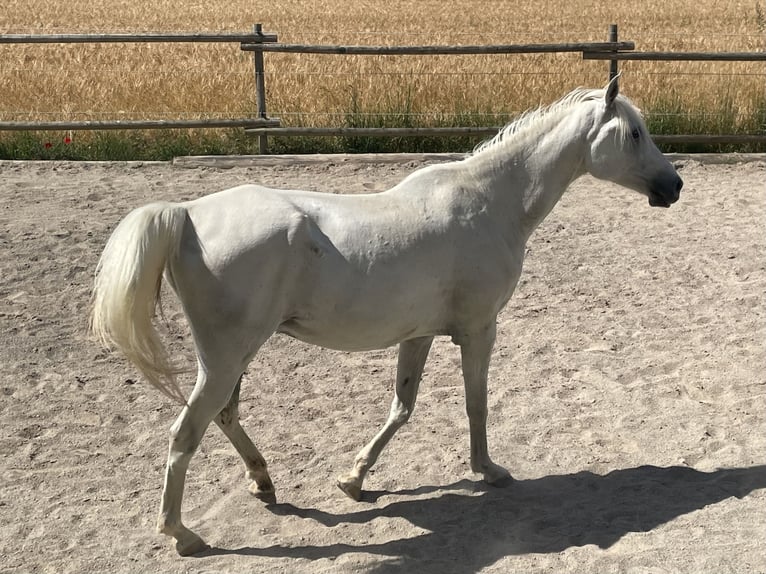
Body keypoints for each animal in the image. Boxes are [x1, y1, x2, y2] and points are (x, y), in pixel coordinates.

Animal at [90, 77, 682, 555]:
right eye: (634, 133)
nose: (673, 186)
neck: (492, 202)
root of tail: (187, 215)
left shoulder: (418, 336)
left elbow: (402, 408)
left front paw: (354, 480)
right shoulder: (478, 331)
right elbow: (475, 403)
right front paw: (489, 471)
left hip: (234, 356)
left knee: (224, 417)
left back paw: (263, 483)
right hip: (225, 357)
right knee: (186, 432)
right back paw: (183, 535)